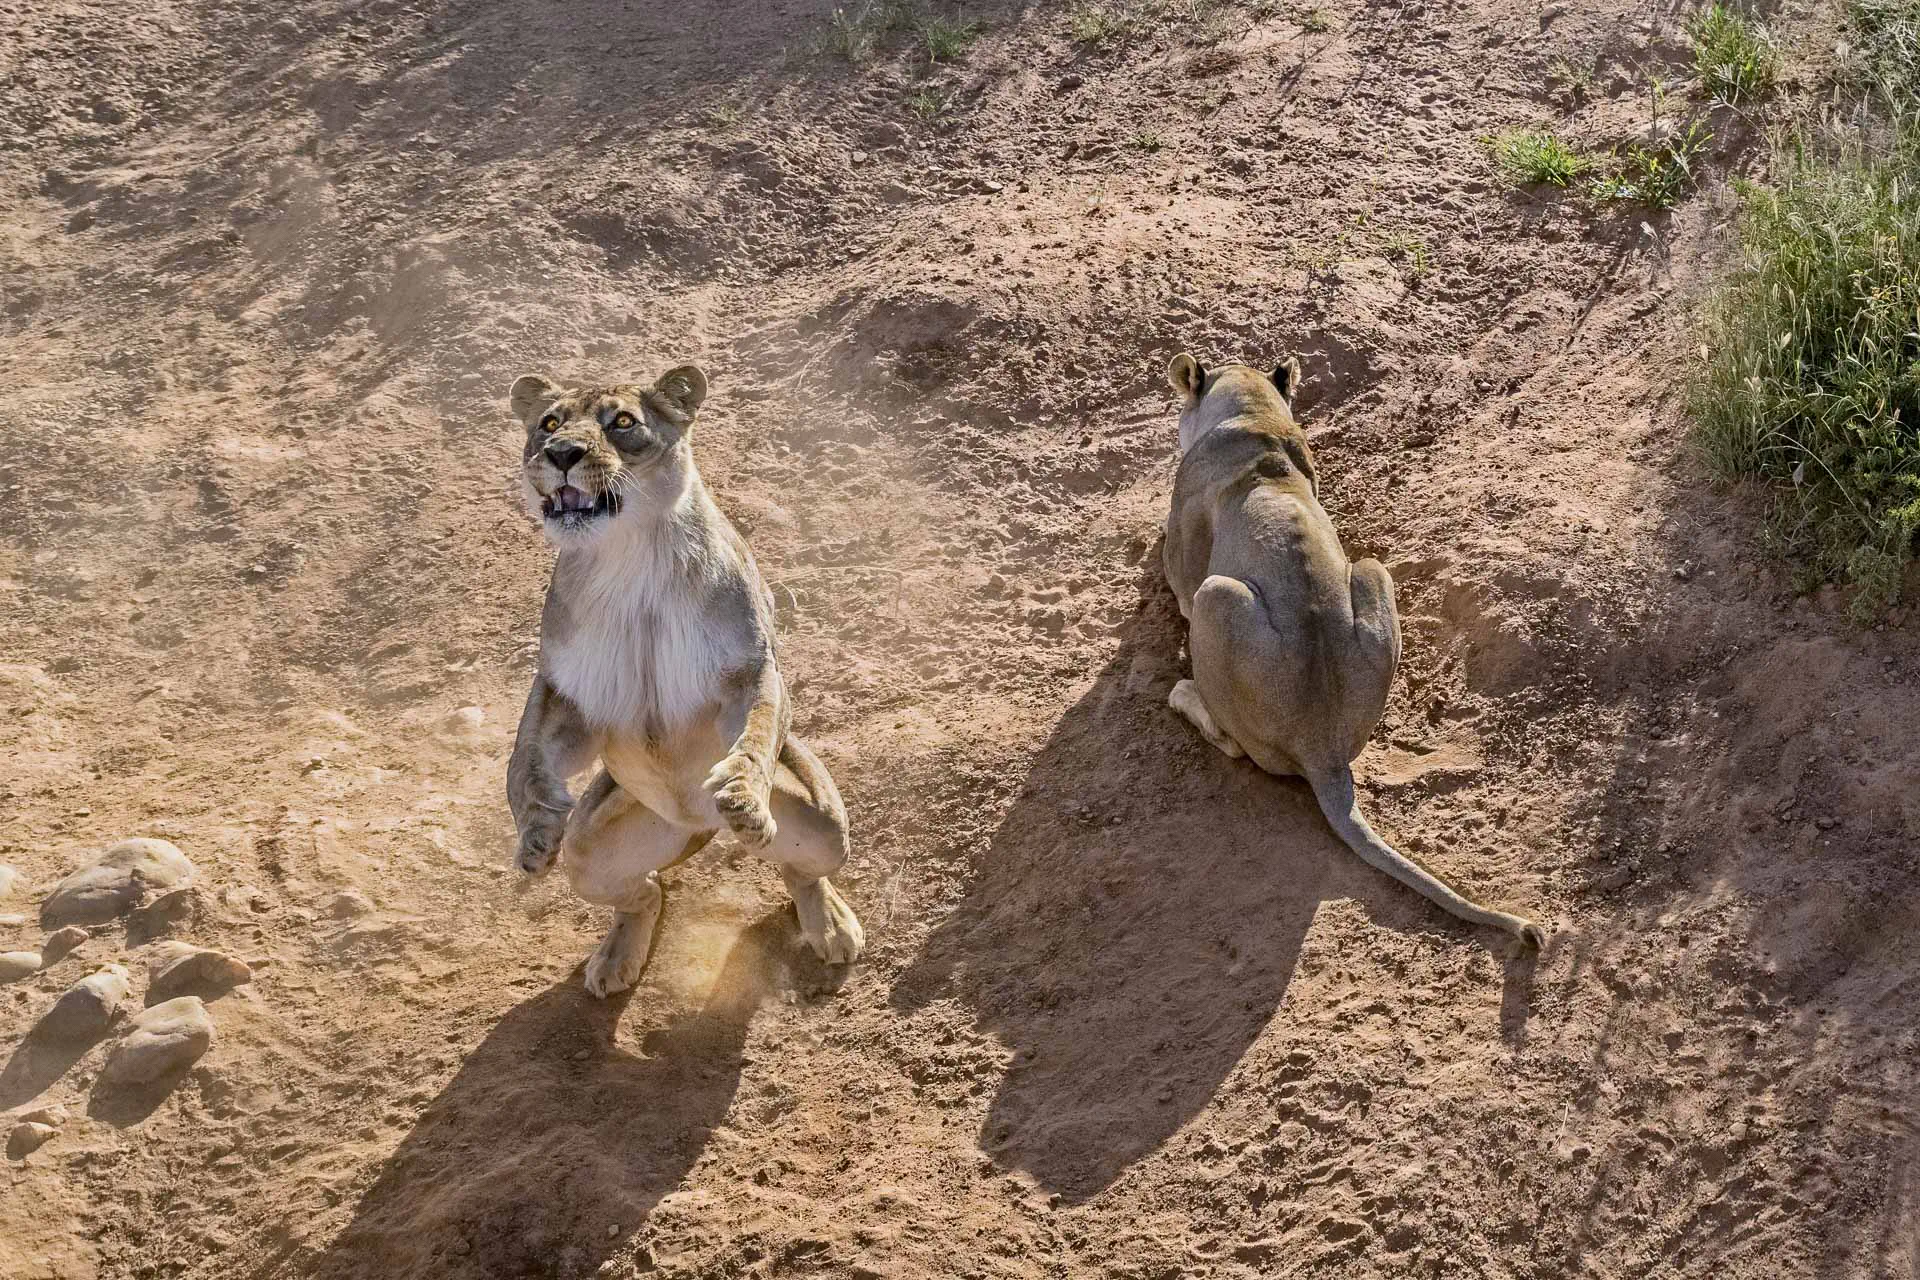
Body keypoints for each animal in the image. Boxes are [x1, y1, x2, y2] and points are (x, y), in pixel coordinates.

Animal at [504, 364, 864, 997]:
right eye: (548, 424)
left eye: (622, 422)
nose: (563, 453)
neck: (629, 560)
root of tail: (697, 827)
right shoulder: (566, 689)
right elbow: (523, 758)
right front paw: (535, 831)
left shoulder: (750, 667)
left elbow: (757, 732)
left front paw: (743, 797)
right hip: (590, 854)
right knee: (645, 893)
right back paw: (615, 959)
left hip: (824, 826)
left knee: (800, 870)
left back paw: (829, 924)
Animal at [1161, 352, 1544, 948]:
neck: (1253, 416)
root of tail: (1322, 751)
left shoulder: (1183, 571)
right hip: (1370, 570)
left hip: (1218, 596)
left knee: (1232, 743)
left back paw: (1183, 693)